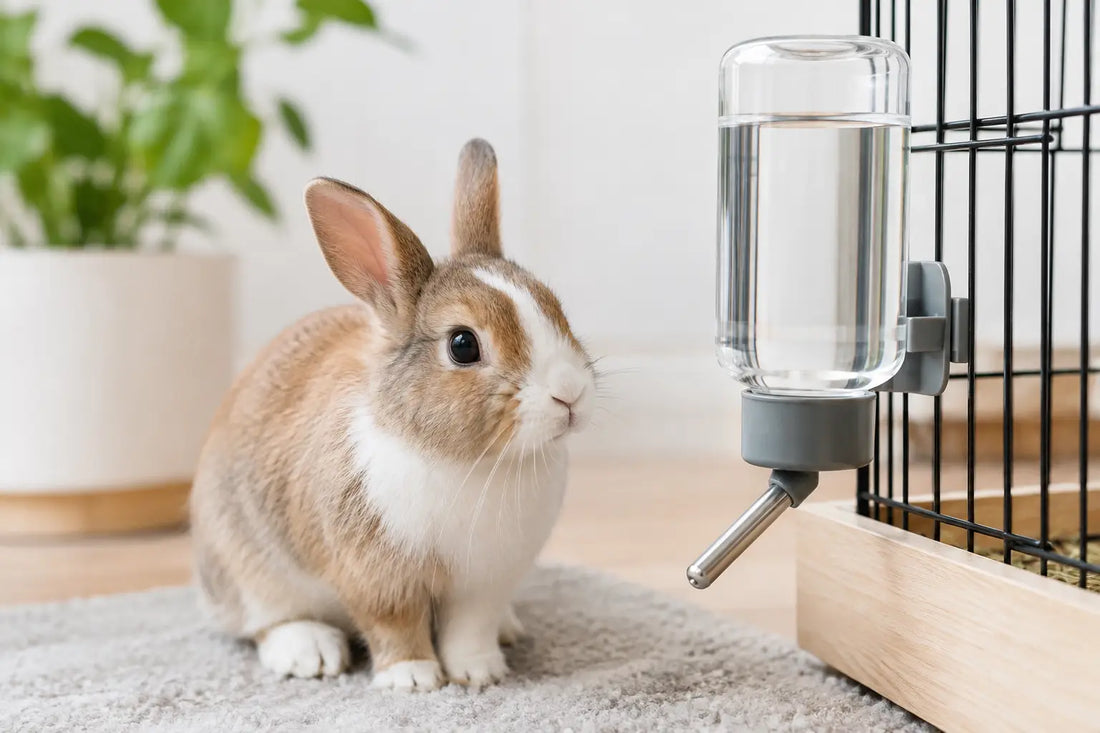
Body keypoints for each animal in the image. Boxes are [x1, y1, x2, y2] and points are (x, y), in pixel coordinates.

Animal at [189, 138, 596, 691]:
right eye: (463, 345)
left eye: (556, 308)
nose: (569, 394)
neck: (469, 461)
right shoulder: (375, 575)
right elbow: (394, 624)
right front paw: (414, 678)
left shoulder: (485, 583)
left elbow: (471, 627)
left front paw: (480, 673)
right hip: (247, 565)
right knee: (263, 622)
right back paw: (310, 653)